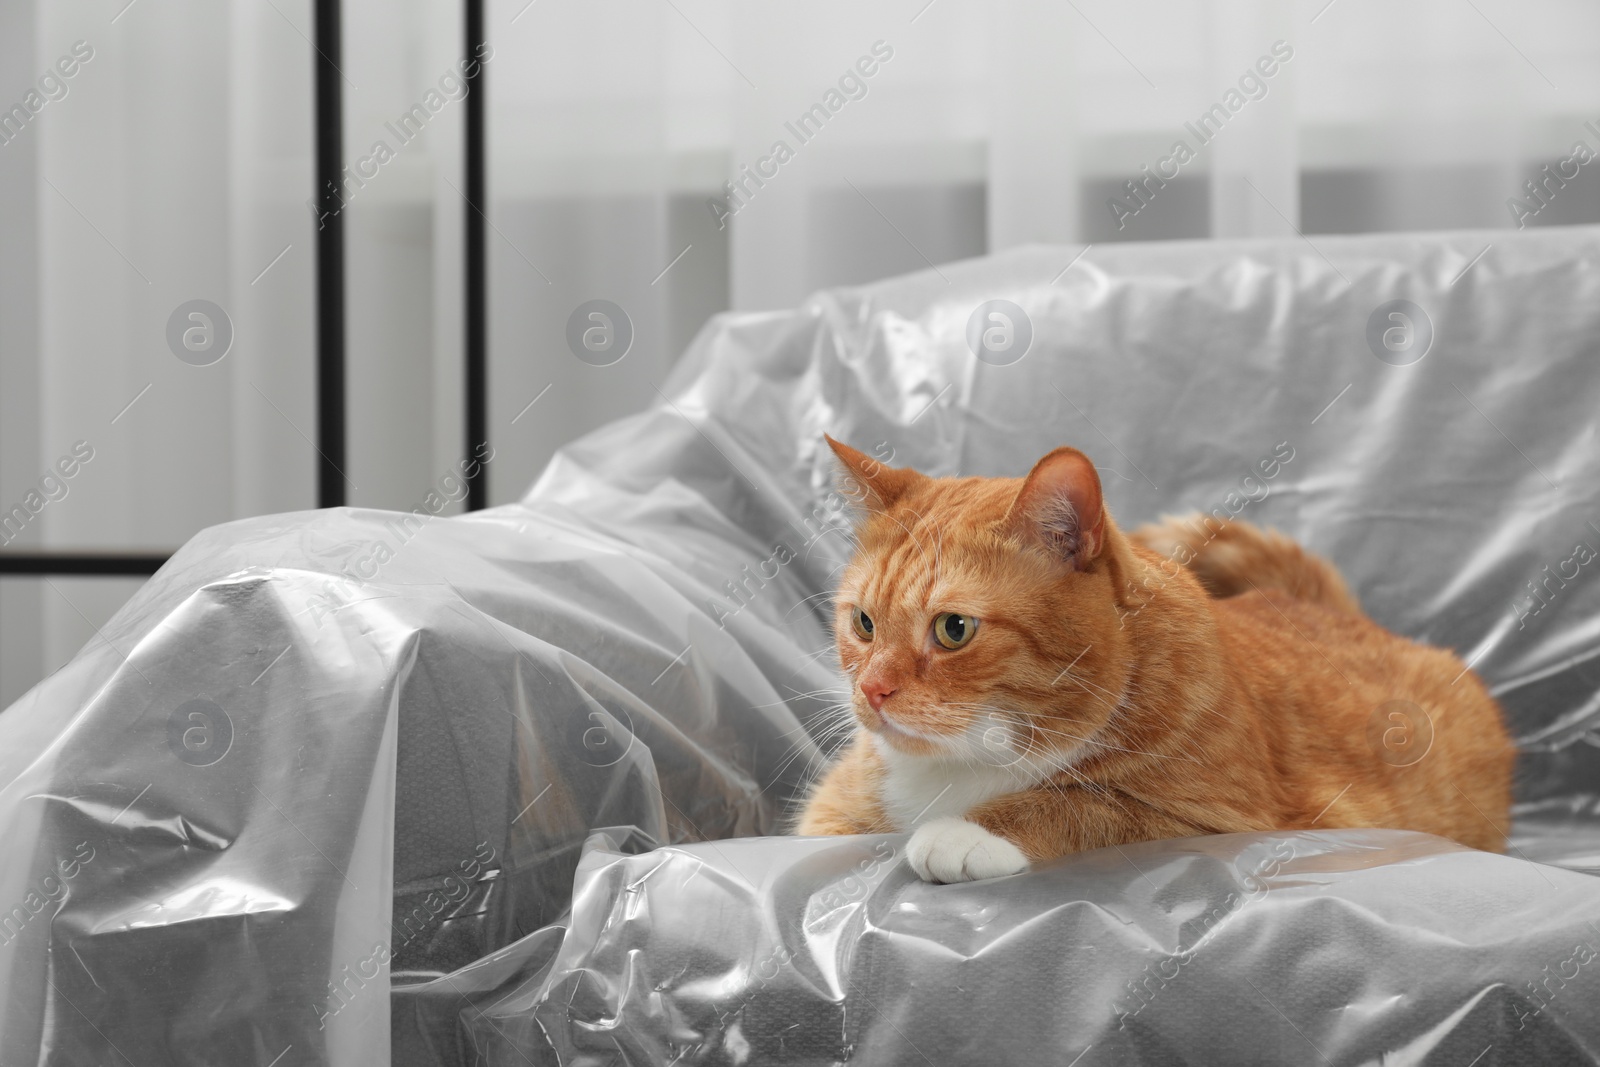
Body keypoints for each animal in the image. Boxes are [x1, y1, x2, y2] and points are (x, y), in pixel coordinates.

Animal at [796, 435, 1510, 883]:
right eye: (863, 623)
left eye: (953, 629)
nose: (872, 691)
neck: (968, 763)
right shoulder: (829, 818)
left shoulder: (1227, 823)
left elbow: (1090, 805)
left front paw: (966, 831)